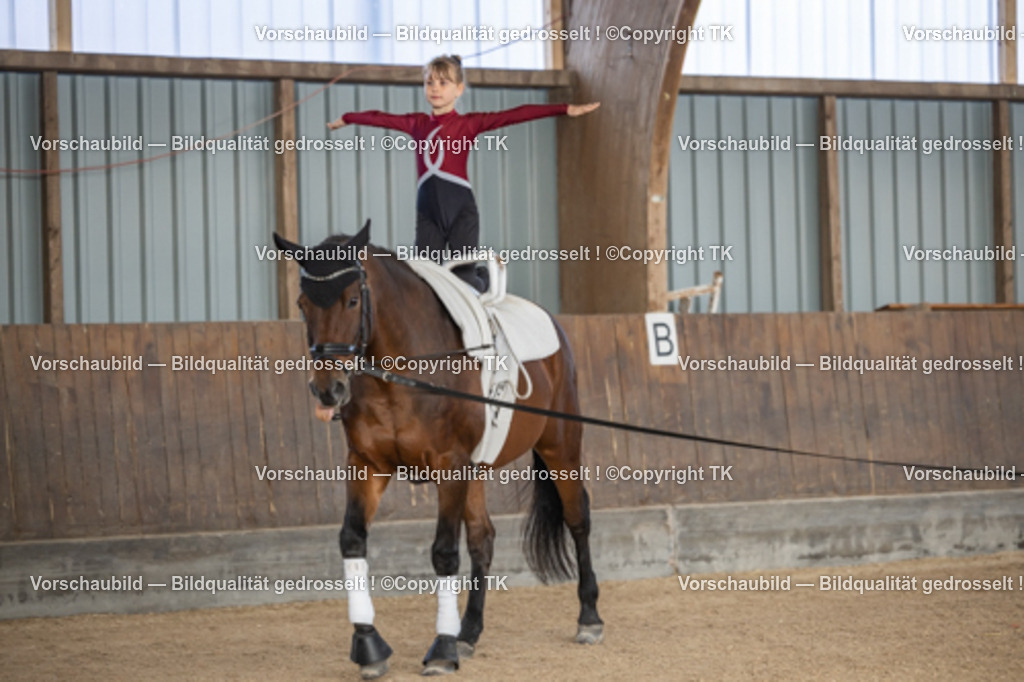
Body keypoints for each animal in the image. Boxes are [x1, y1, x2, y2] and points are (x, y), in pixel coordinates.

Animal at [273, 221, 603, 678]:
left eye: (353, 299)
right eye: (303, 304)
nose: (328, 389)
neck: (401, 373)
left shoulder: (449, 467)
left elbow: (444, 553)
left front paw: (442, 649)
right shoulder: (368, 465)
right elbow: (352, 540)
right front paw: (369, 646)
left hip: (560, 446)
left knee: (577, 519)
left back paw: (588, 618)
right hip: (476, 469)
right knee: (483, 539)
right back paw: (469, 632)